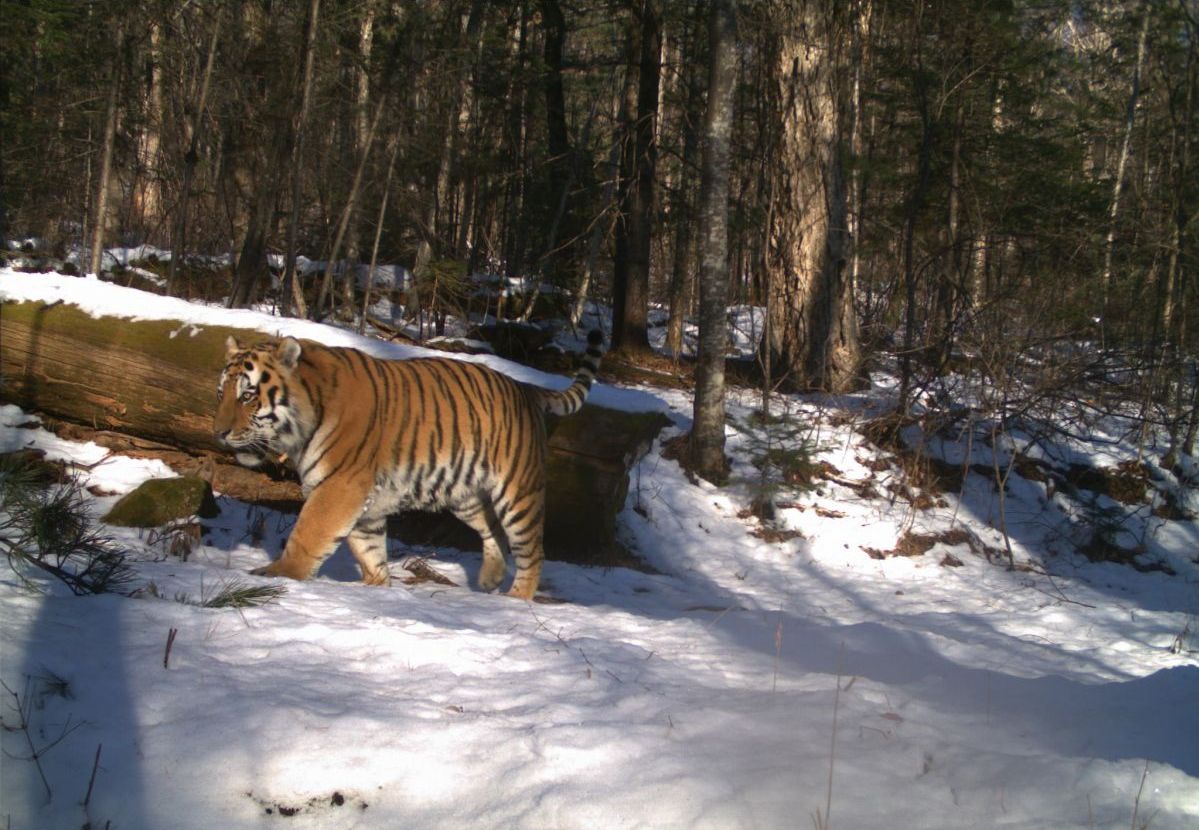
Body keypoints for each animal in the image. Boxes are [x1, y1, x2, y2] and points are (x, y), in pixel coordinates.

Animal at [213, 330, 604, 599]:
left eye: (247, 395)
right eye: (221, 394)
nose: (218, 432)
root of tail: (526, 388)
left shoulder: (339, 486)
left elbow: (307, 534)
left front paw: (280, 574)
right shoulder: (362, 501)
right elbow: (368, 548)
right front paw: (377, 587)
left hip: (518, 492)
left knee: (532, 550)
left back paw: (516, 598)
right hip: (465, 495)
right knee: (492, 530)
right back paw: (489, 579)